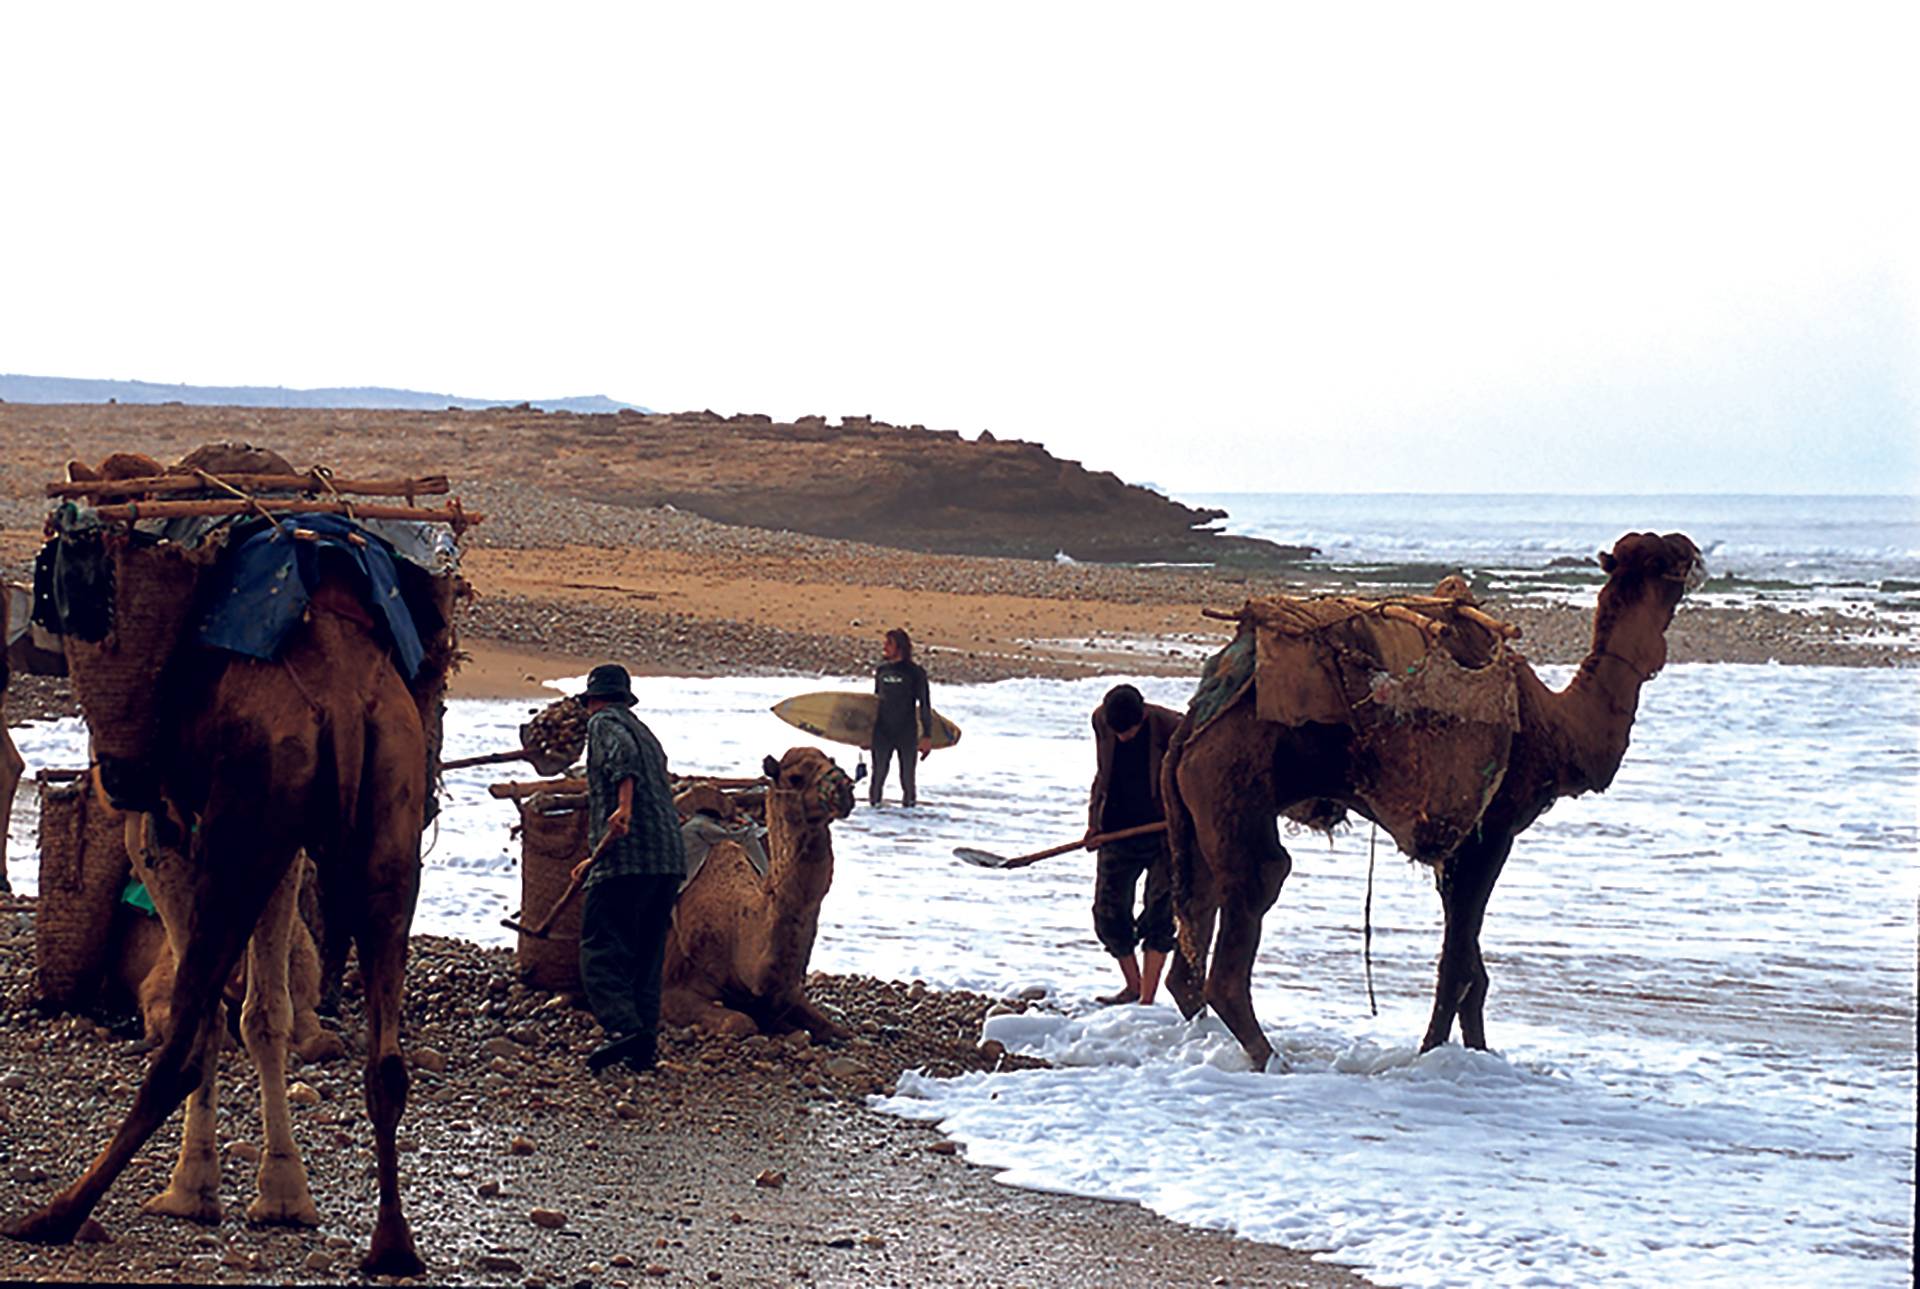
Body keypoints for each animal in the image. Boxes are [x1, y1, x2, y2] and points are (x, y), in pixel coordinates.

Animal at [660, 745, 856, 1037]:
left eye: (831, 762)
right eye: (795, 778)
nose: (844, 789)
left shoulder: (786, 995)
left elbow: (838, 1031)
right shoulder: (671, 987)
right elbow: (740, 1022)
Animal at [1159, 530, 1704, 1068]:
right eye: (1669, 558)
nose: (1696, 551)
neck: (1557, 728)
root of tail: (1195, 721)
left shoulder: (1457, 842)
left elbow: (1472, 971)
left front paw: (1477, 1053)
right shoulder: (1491, 830)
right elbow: (1458, 966)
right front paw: (1432, 1054)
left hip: (1198, 811)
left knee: (1190, 951)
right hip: (1232, 783)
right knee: (1253, 902)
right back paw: (1272, 1059)